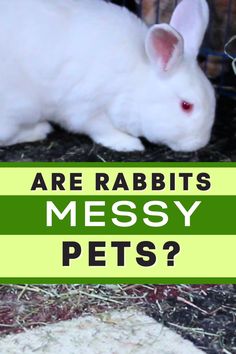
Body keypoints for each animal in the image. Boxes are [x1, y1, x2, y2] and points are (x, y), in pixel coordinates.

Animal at [0, 0, 215, 151]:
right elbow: (100, 129)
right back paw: (38, 130)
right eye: (186, 106)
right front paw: (129, 144)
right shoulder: (87, 109)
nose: (199, 143)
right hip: (20, 108)